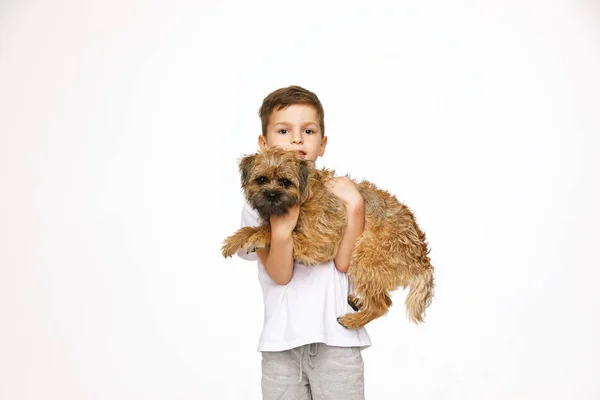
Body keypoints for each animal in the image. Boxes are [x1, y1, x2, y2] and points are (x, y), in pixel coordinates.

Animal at [223, 147, 434, 328]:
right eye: (261, 179)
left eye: (285, 182)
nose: (271, 195)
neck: (304, 195)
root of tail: (422, 259)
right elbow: (256, 227)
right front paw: (236, 239)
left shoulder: (319, 242)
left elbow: (278, 233)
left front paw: (257, 237)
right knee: (385, 299)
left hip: (365, 257)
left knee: (381, 305)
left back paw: (352, 321)